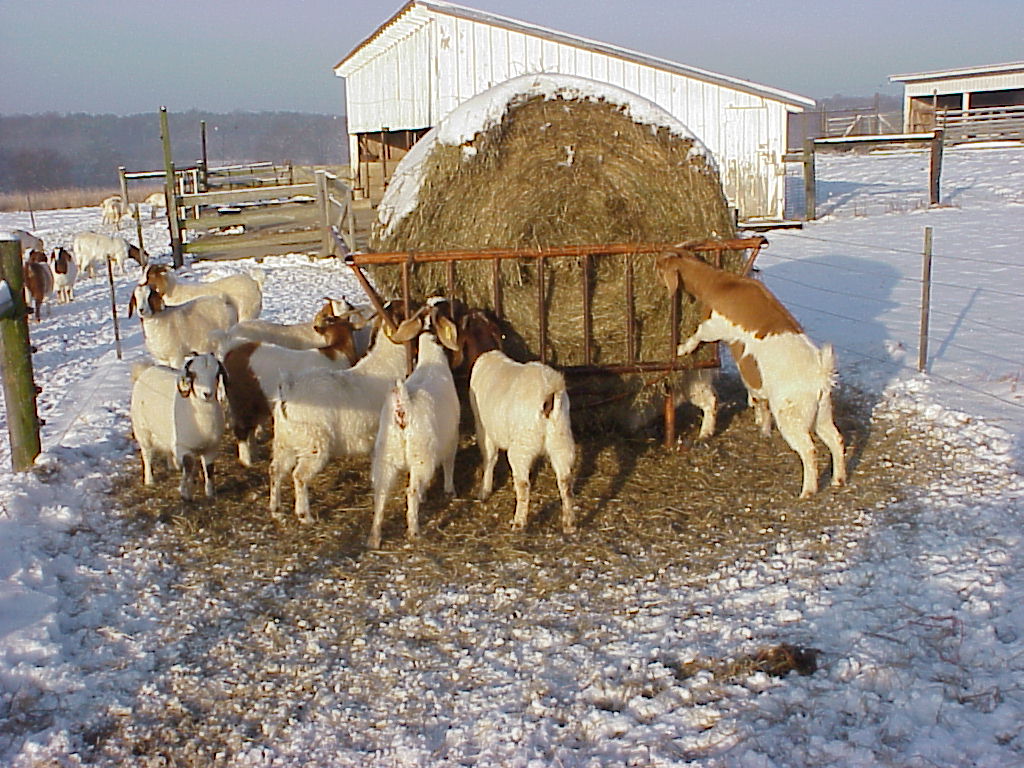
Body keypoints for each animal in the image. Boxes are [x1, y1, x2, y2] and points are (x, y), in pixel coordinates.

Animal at [129, 354, 225, 501]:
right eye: (193, 374)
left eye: (216, 374)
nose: (207, 394)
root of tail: (145, 370)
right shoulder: (183, 448)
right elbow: (189, 466)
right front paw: (185, 492)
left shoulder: (211, 448)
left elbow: (209, 469)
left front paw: (210, 493)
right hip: (142, 430)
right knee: (147, 454)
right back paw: (149, 480)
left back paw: (172, 466)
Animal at [218, 313, 362, 468]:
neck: (337, 352)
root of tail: (231, 351)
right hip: (242, 401)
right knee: (241, 429)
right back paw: (247, 461)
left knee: (250, 427)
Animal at [368, 331, 460, 548]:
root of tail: (403, 405)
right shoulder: (452, 437)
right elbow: (449, 463)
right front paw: (449, 490)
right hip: (421, 455)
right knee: (410, 491)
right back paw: (414, 531)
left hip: (387, 454)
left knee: (381, 491)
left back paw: (374, 538)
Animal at [655, 252, 847, 499]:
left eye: (662, 266)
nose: (654, 264)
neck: (721, 284)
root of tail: (820, 376)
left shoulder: (715, 326)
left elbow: (698, 334)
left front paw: (681, 349)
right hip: (822, 413)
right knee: (835, 439)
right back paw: (838, 480)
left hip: (791, 415)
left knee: (809, 450)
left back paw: (807, 491)